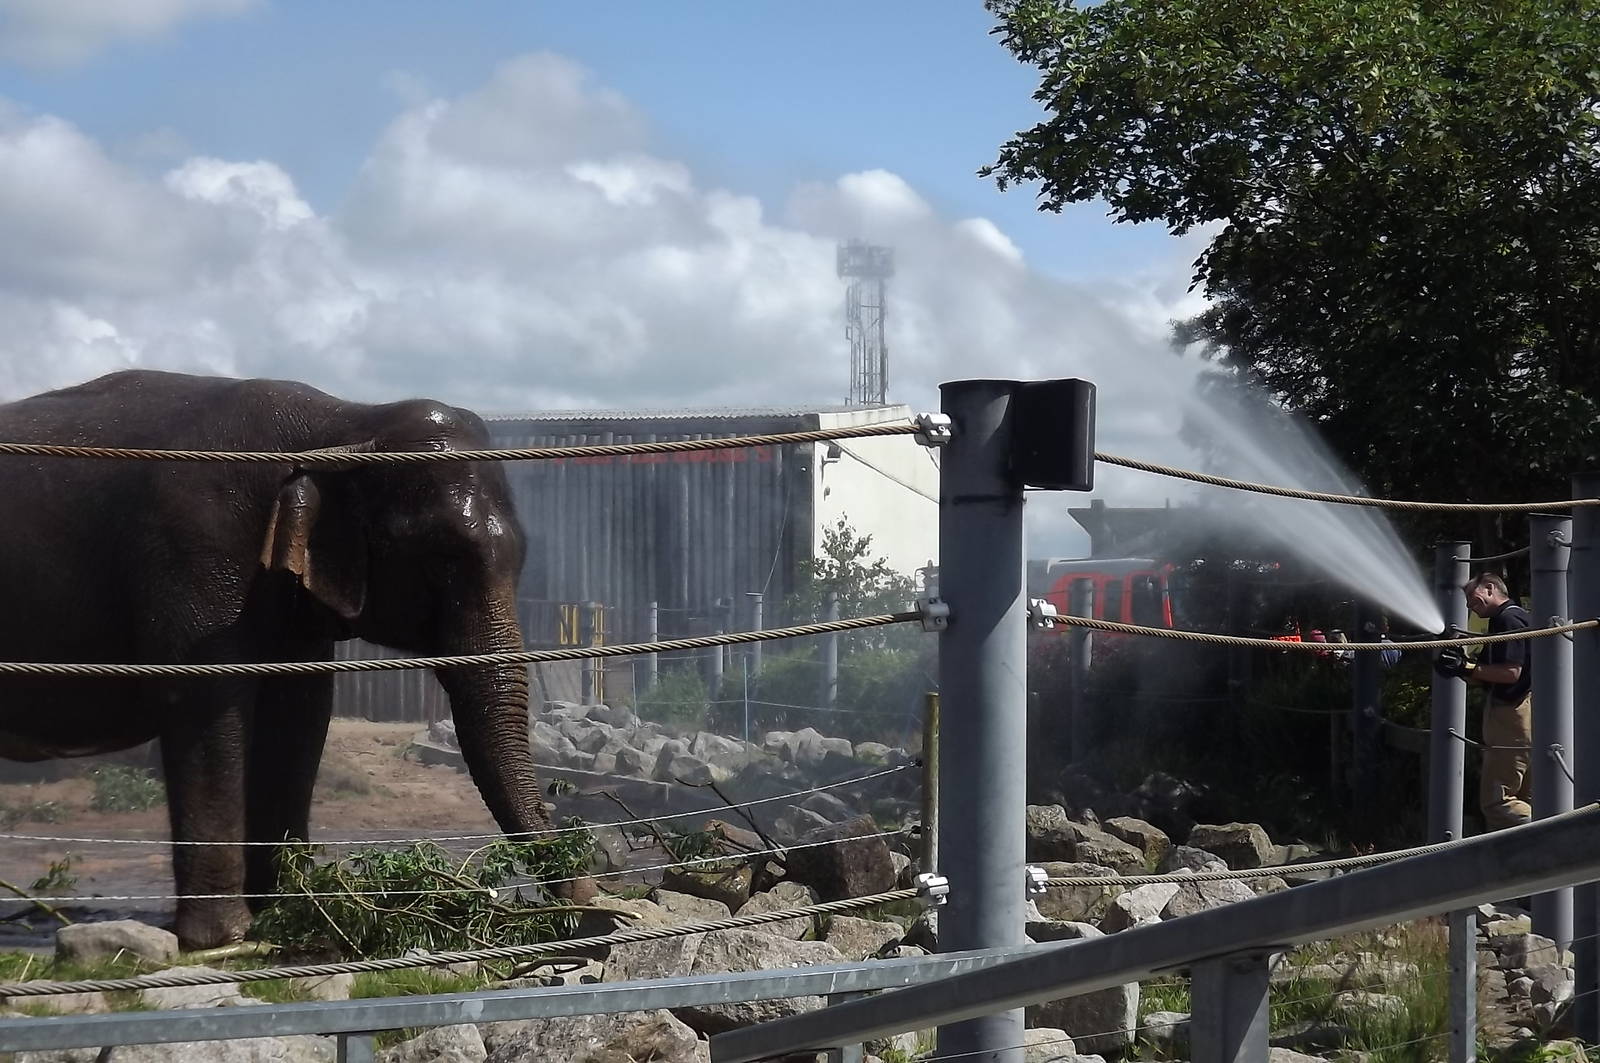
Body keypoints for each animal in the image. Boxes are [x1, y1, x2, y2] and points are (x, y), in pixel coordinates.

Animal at [0, 369, 557, 949]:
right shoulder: (193, 553)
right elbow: (205, 703)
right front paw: (223, 939)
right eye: (440, 560)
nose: (579, 897)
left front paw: (290, 918)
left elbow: (300, 710)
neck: (346, 422)